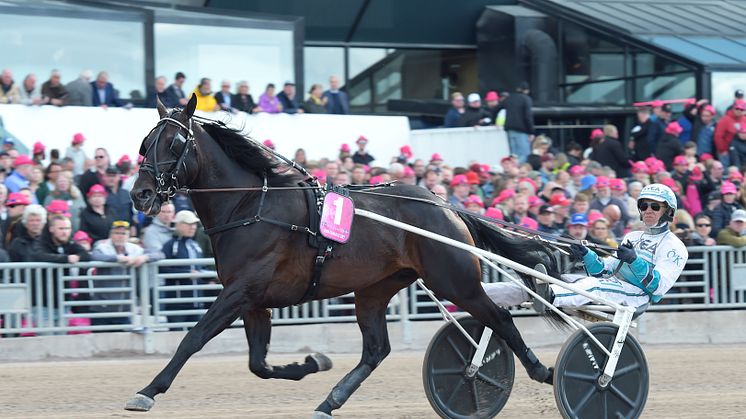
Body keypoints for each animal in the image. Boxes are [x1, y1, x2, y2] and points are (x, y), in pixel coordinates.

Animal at [128, 95, 556, 416]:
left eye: (175, 143)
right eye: (146, 142)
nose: (140, 193)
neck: (250, 206)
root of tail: (444, 204)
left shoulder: (240, 291)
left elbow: (194, 338)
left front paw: (147, 390)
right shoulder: (252, 299)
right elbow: (258, 364)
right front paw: (311, 363)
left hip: (455, 281)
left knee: (499, 318)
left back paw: (543, 371)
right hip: (375, 289)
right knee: (376, 350)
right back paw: (329, 401)